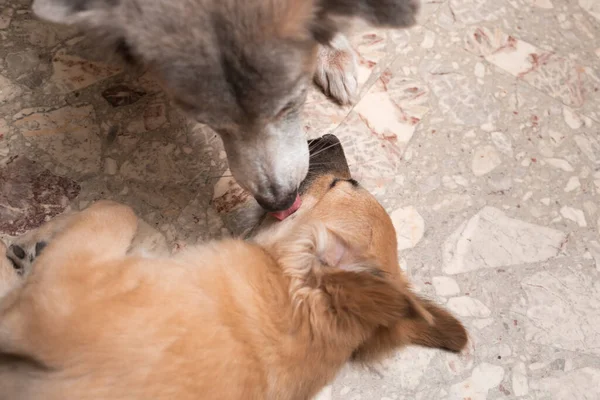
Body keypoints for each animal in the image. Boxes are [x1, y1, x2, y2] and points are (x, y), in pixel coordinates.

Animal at [0, 142, 466, 398]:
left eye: (343, 185)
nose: (331, 135)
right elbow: (141, 230)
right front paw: (39, 239)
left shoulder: (53, 299)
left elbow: (117, 209)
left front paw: (36, 241)